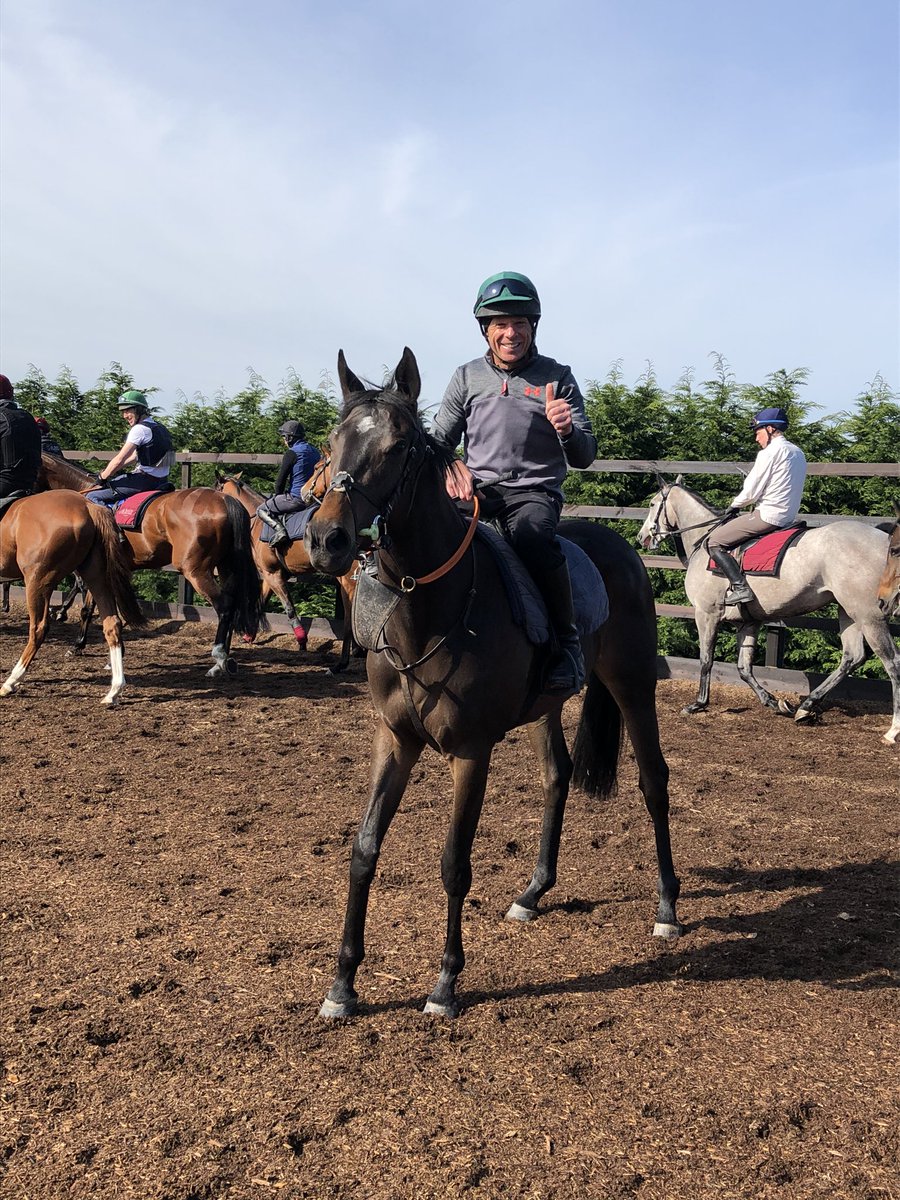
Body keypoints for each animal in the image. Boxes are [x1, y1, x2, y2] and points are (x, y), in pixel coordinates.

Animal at [0, 489, 146, 700]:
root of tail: (89, 507)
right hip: (96, 576)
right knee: (112, 623)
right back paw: (114, 690)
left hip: (37, 581)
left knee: (38, 628)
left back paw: (12, 681)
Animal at [37, 453, 266, 676]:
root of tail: (224, 499)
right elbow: (98, 609)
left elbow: (93, 609)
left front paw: (80, 645)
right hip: (227, 567)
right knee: (233, 603)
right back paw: (227, 657)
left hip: (195, 571)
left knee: (224, 606)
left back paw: (219, 657)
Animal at [213, 465, 362, 676]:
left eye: (214, 488)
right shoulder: (270, 574)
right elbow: (261, 603)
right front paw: (249, 635)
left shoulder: (272, 574)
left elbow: (289, 607)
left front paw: (301, 638)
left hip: (348, 583)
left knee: (350, 621)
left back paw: (343, 662)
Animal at [307, 350, 681, 1022]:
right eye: (331, 442)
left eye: (398, 447)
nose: (328, 540)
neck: (429, 609)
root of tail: (617, 545)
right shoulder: (394, 739)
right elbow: (365, 848)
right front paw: (343, 984)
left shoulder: (470, 751)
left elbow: (455, 863)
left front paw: (445, 984)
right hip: (548, 707)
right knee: (558, 775)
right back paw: (534, 892)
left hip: (634, 684)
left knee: (653, 780)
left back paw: (667, 907)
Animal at [643, 475, 900, 739]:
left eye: (652, 504)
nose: (643, 537)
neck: (704, 540)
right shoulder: (748, 621)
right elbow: (744, 667)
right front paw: (775, 703)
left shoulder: (706, 614)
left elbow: (706, 659)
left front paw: (698, 703)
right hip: (848, 611)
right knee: (852, 657)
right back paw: (806, 707)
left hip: (869, 615)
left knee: (892, 662)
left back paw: (893, 728)